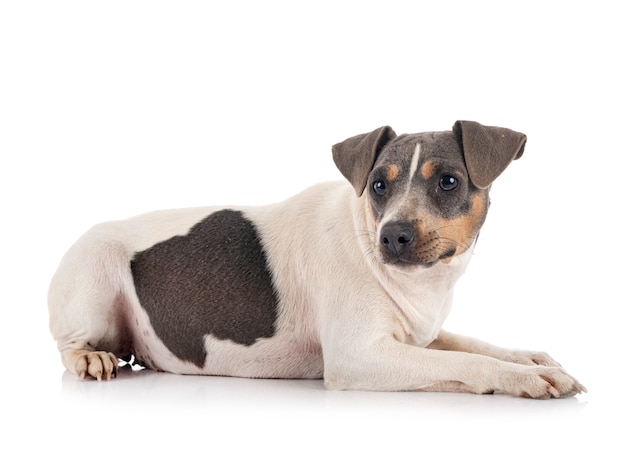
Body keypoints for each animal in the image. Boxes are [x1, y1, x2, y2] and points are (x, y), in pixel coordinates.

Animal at [48, 122, 584, 398]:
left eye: (448, 181)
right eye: (378, 184)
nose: (393, 236)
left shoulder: (418, 332)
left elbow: (470, 346)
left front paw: (529, 358)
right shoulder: (358, 356)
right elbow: (465, 362)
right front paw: (526, 378)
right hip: (93, 277)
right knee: (68, 343)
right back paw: (92, 357)